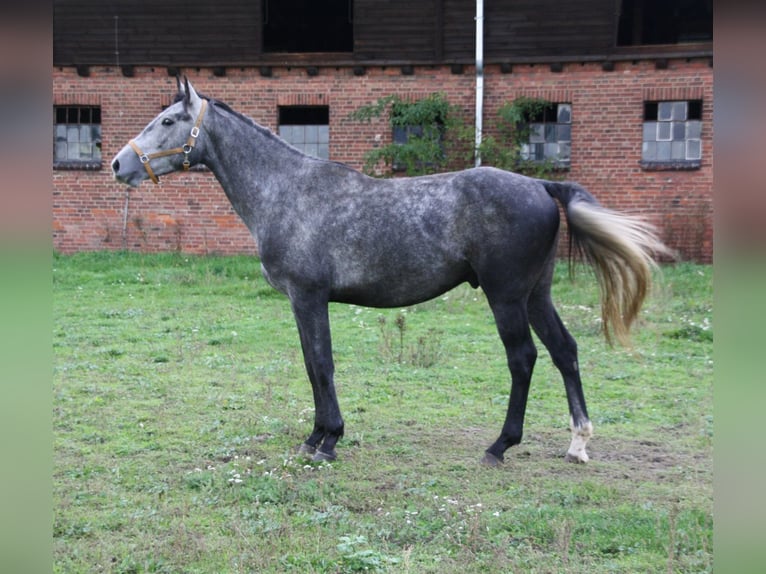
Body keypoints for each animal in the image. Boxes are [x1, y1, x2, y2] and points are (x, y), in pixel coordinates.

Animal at [111, 77, 668, 468]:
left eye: (167, 121)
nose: (119, 164)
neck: (288, 191)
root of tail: (542, 187)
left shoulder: (309, 297)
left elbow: (322, 364)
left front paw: (328, 440)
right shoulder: (301, 302)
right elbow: (312, 365)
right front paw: (315, 436)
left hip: (506, 296)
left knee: (524, 359)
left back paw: (500, 446)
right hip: (537, 294)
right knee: (564, 351)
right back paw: (577, 444)